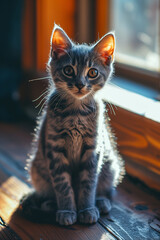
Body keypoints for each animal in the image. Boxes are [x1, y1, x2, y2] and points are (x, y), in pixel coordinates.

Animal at [19, 25, 124, 226]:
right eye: (68, 70)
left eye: (92, 72)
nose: (80, 84)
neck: (76, 112)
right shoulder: (54, 149)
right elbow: (62, 184)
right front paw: (67, 210)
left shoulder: (94, 150)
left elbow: (88, 182)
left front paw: (87, 209)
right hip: (37, 167)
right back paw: (51, 204)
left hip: (110, 164)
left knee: (108, 189)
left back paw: (101, 201)